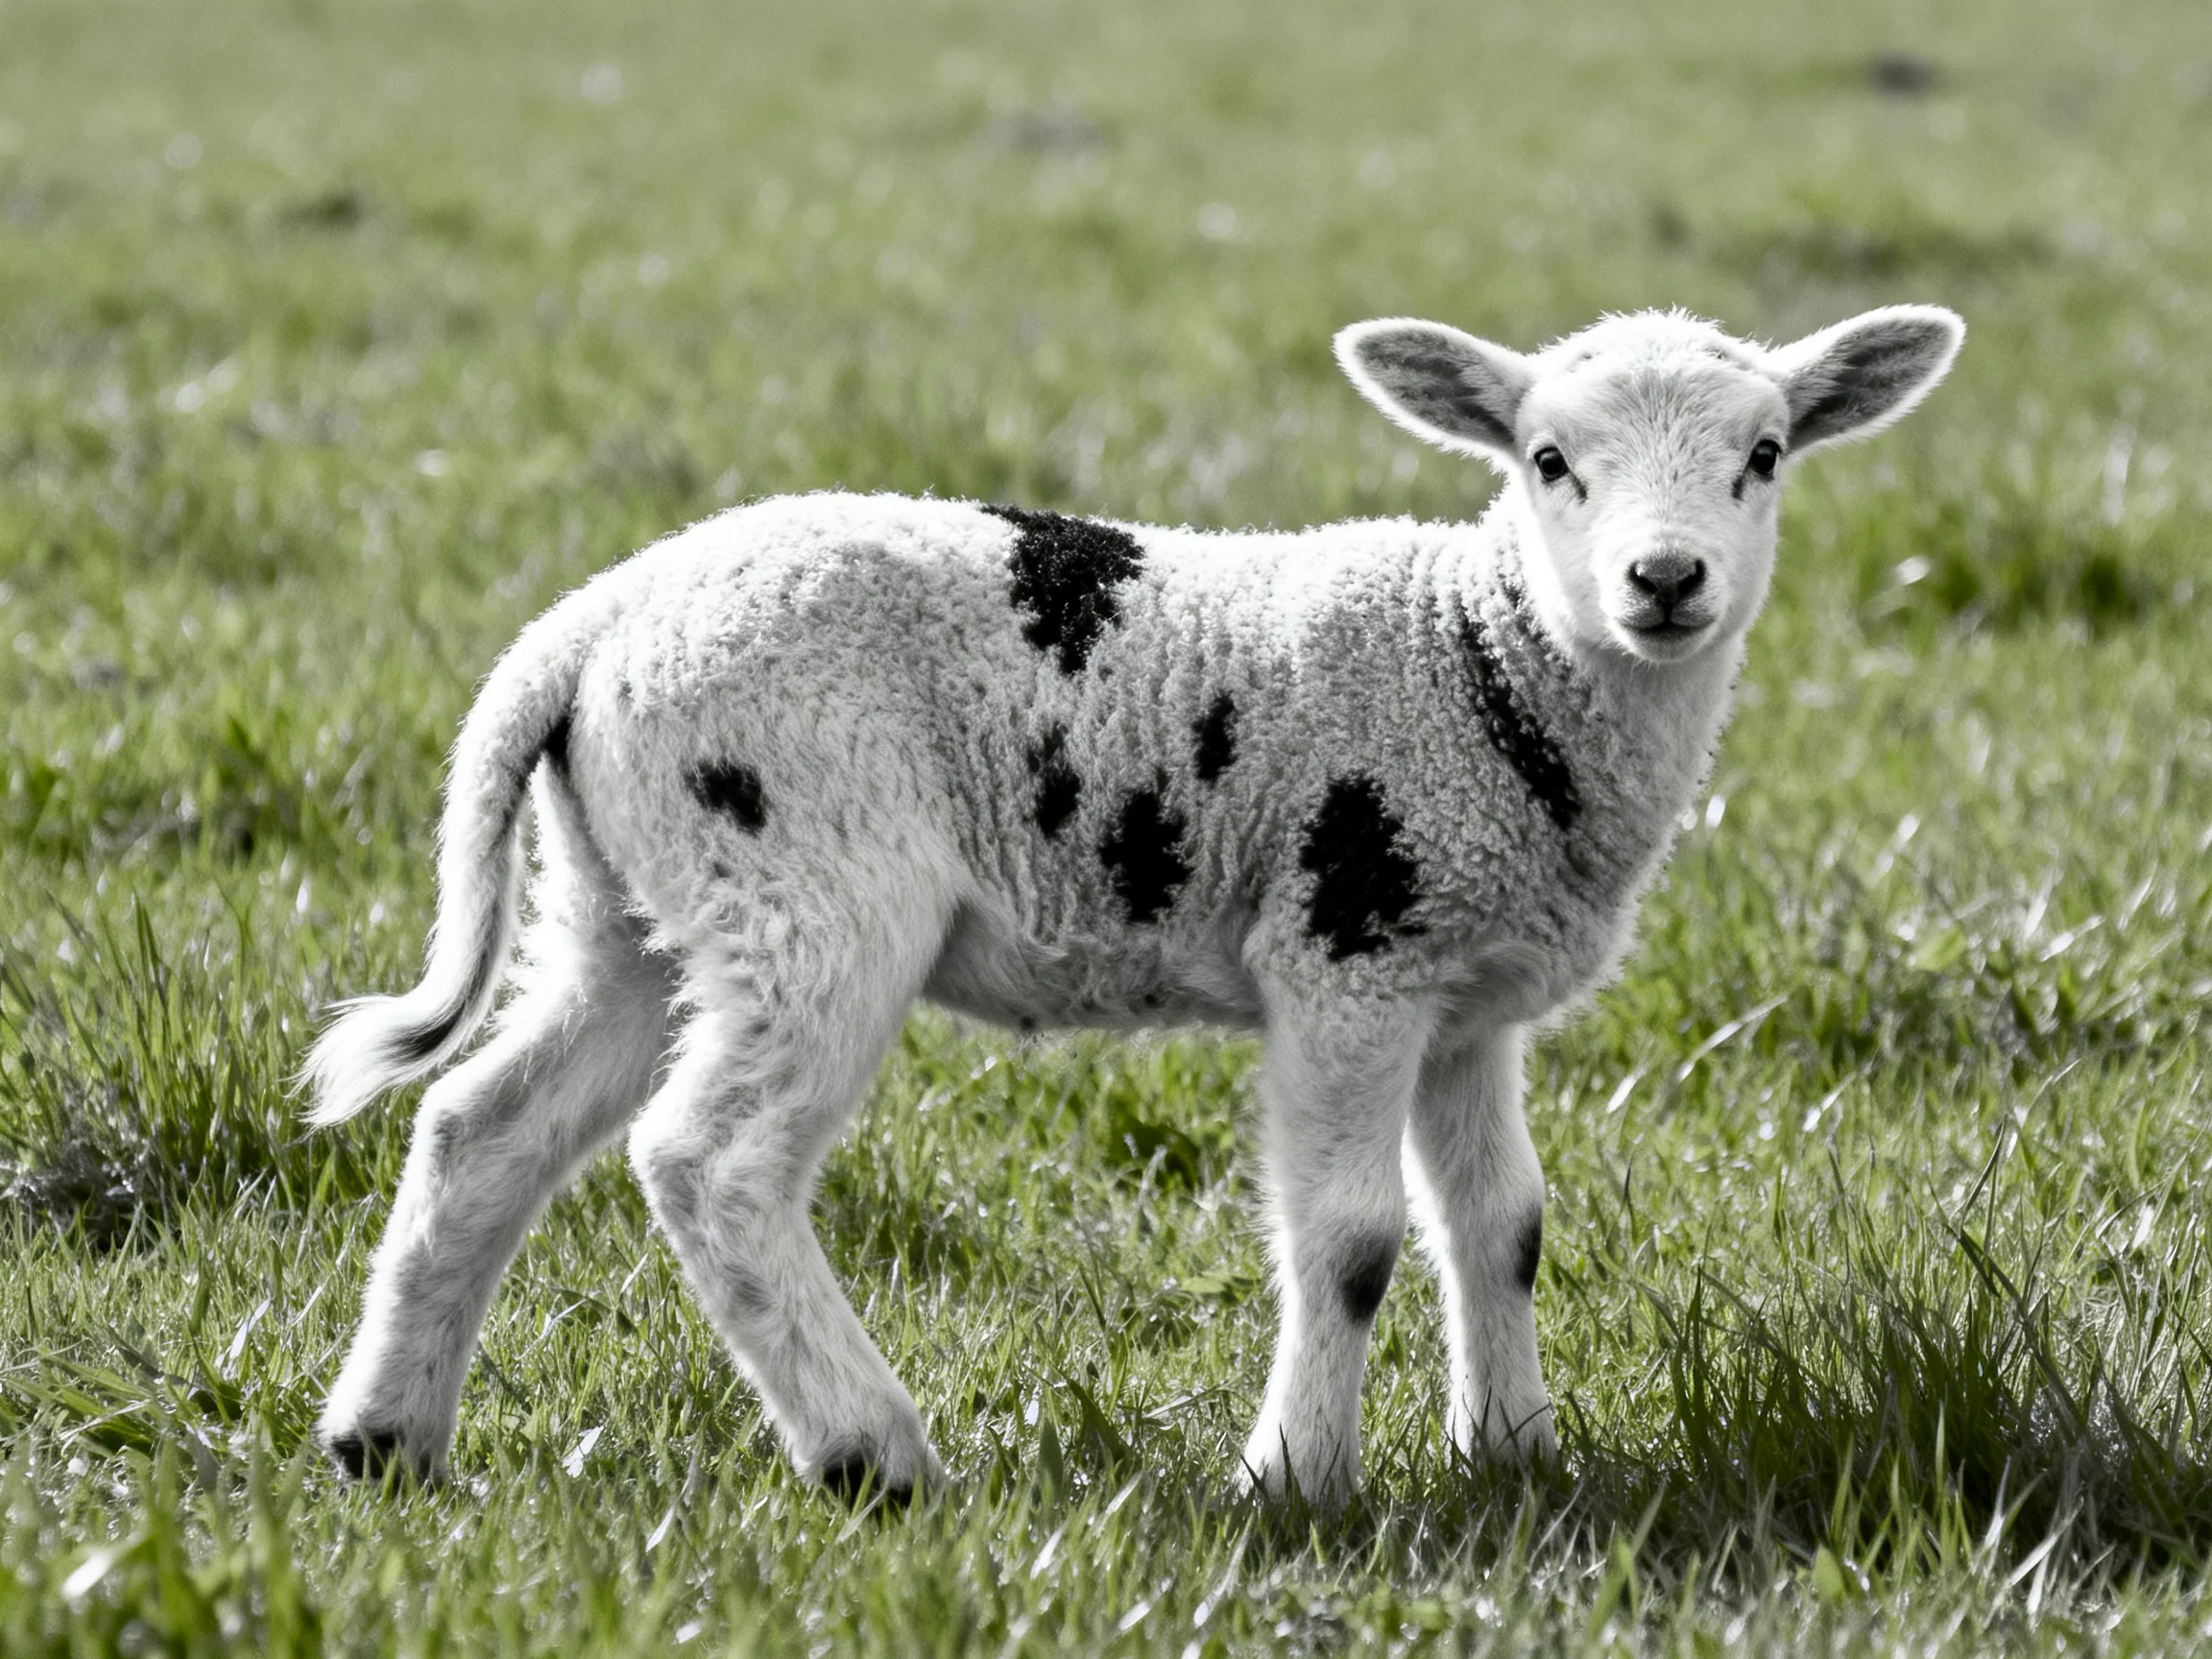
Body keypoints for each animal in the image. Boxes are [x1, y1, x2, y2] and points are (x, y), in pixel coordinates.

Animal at [305, 303, 1963, 1505]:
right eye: (1549, 459)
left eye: (1766, 453)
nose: (1665, 581)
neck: (1483, 661)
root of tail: (583, 628)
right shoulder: (1350, 946)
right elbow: (1353, 1239)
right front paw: (1297, 1482)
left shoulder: (1466, 984)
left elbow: (1500, 1225)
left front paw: (1517, 1459)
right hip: (804, 870)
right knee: (711, 1162)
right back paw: (873, 1457)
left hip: (630, 899)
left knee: (485, 1125)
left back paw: (384, 1440)